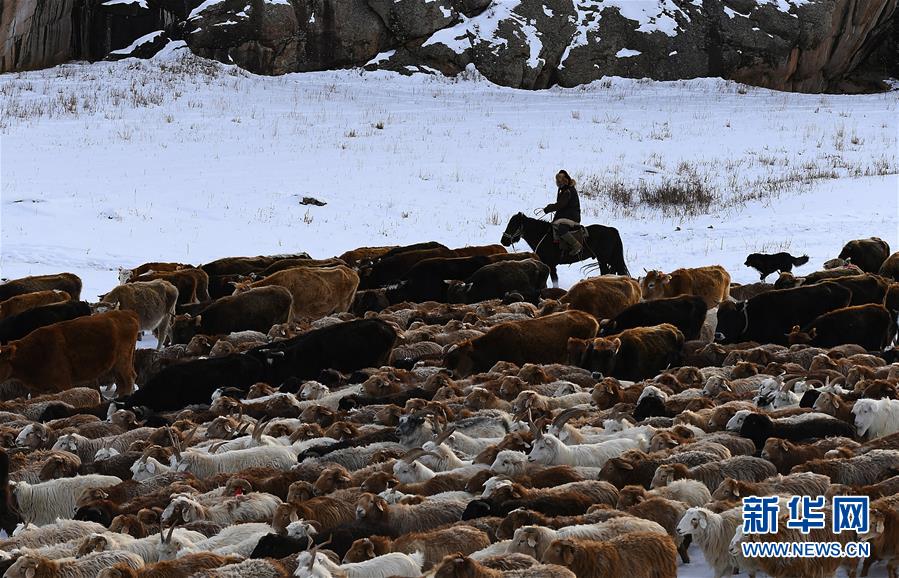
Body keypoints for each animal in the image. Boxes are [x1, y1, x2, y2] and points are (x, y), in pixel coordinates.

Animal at [0, 310, 139, 396]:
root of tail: (128, 313)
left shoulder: (64, 382)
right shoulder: (36, 389)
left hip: (122, 362)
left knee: (129, 379)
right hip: (116, 366)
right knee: (122, 382)